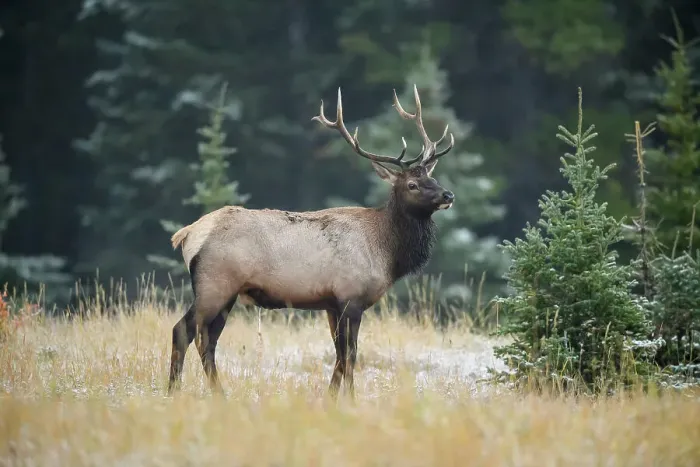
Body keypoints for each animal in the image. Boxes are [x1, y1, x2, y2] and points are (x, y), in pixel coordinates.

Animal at [166, 84, 456, 400]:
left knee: (206, 340)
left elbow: (339, 356)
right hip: (215, 284)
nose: (448, 195)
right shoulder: (350, 297)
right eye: (412, 185)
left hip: (225, 294)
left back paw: (218, 393)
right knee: (183, 331)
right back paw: (173, 391)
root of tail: (187, 235)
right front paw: (351, 399)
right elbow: (350, 354)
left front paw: (331, 397)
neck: (386, 252)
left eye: (434, 178)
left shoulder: (331, 304)